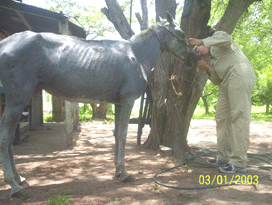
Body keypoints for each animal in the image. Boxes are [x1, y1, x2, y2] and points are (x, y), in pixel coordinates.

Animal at [0, 12, 196, 195]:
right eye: (181, 33)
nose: (193, 57)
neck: (136, 54)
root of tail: (5, 43)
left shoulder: (118, 103)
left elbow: (116, 134)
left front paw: (117, 170)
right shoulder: (128, 101)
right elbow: (123, 135)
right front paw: (124, 173)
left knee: (9, 137)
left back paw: (19, 178)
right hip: (17, 100)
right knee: (5, 136)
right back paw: (14, 185)